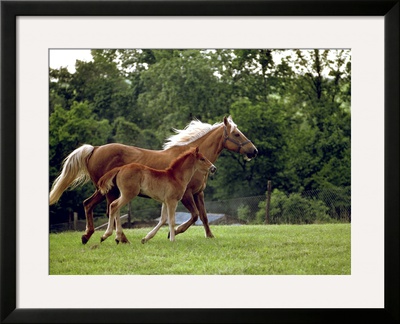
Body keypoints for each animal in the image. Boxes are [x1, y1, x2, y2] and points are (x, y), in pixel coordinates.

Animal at [50, 114, 258, 243]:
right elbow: (193, 216)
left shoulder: (199, 193)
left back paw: (88, 236)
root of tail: (95, 149)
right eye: (237, 134)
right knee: (110, 210)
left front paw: (210, 236)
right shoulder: (186, 195)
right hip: (109, 191)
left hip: (104, 190)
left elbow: (204, 217)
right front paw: (173, 233)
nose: (254, 151)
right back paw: (118, 237)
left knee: (89, 205)